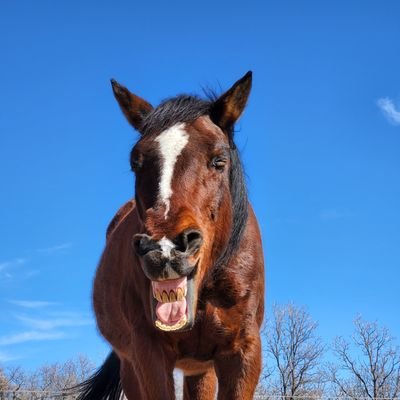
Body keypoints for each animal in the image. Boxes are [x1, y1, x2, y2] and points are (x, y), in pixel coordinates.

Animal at [75, 72, 266, 400]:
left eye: (219, 159)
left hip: (200, 369)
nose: (164, 249)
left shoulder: (242, 353)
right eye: (135, 162)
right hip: (133, 366)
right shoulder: (148, 354)